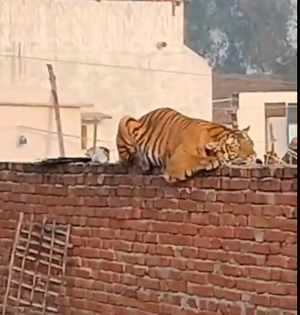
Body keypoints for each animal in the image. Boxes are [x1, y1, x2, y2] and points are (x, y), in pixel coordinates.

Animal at [116, 108, 256, 184]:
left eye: (250, 143)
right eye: (235, 147)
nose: (253, 156)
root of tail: (142, 116)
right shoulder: (177, 159)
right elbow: (196, 158)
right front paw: (215, 160)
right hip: (125, 119)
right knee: (126, 159)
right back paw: (143, 162)